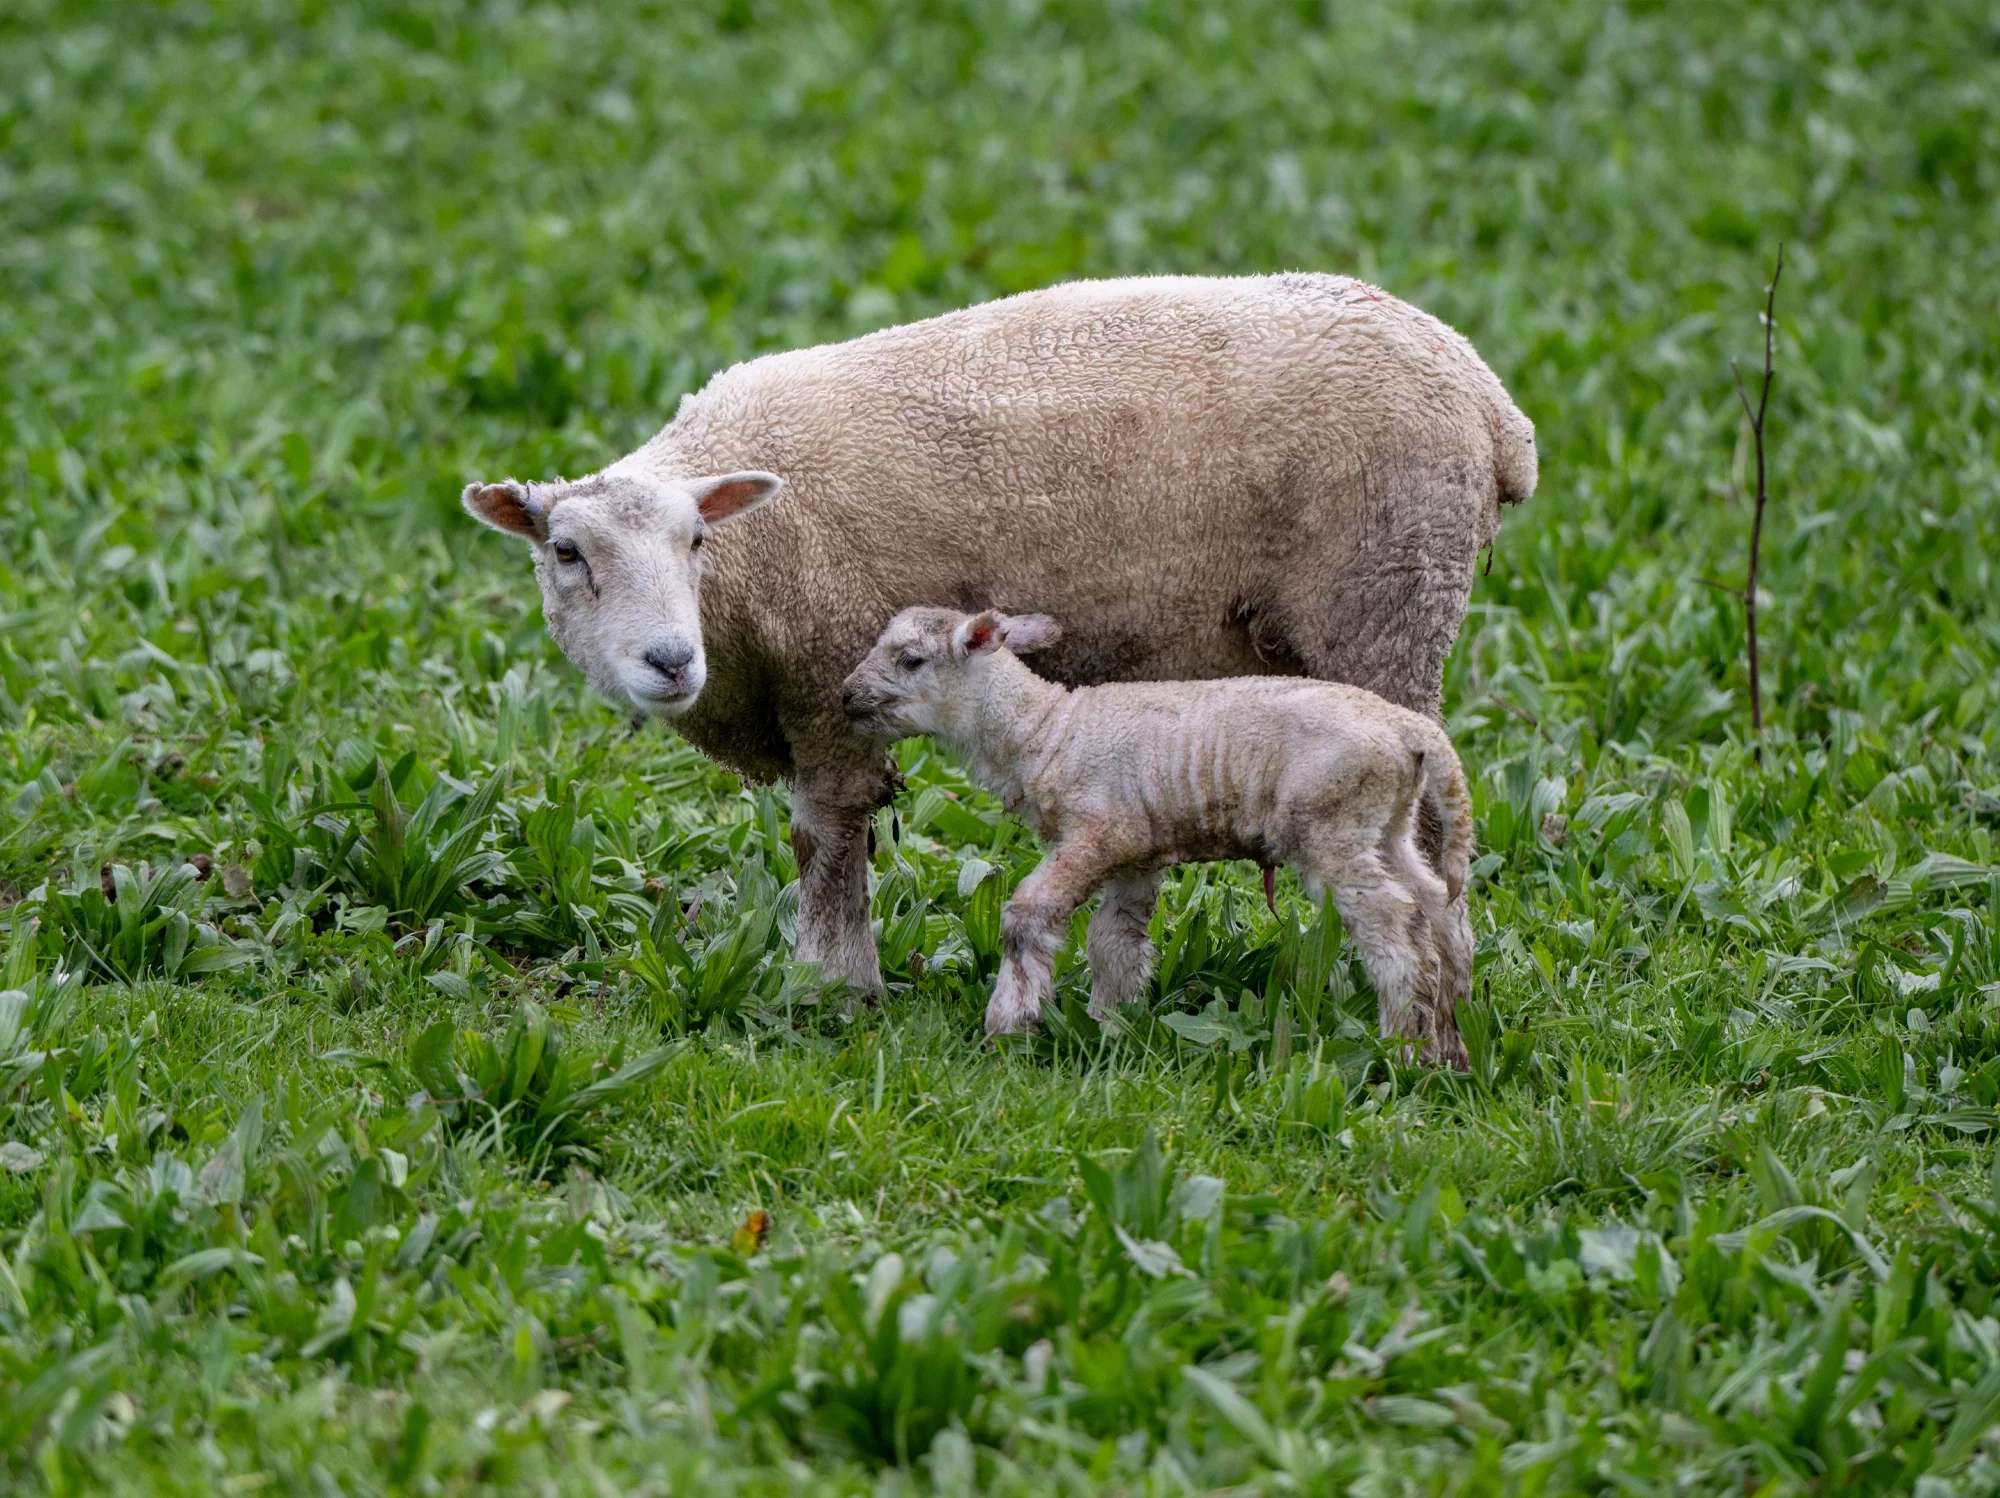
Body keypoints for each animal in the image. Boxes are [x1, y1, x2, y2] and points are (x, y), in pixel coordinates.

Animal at [462, 273, 1534, 994]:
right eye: (566, 551)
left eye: (695, 539)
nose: (669, 659)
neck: (743, 579)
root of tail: (1495, 409)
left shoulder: (828, 679)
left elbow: (825, 836)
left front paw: (831, 987)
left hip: (1388, 603)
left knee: (1425, 827)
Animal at [840, 606, 1475, 1064]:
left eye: (911, 659)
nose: (845, 696)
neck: (1044, 731)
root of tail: (1411, 730)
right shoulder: (1135, 852)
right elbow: (1114, 944)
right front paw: (1110, 1028)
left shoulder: (1100, 829)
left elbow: (1028, 915)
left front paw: (1010, 1029)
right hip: (1386, 822)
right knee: (1438, 908)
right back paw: (1450, 1041)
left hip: (1333, 823)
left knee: (1396, 926)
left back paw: (1401, 1048)